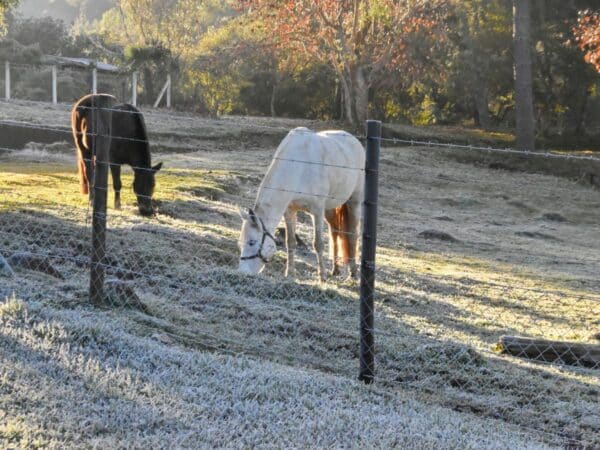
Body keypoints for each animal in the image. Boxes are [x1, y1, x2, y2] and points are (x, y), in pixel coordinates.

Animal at [239, 127, 366, 282]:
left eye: (251, 242)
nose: (242, 272)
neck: (298, 166)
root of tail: (353, 139)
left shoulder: (317, 211)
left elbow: (318, 244)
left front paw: (322, 277)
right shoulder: (289, 211)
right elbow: (290, 242)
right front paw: (290, 273)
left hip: (354, 201)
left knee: (352, 234)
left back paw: (353, 273)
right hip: (330, 208)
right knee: (334, 232)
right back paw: (335, 270)